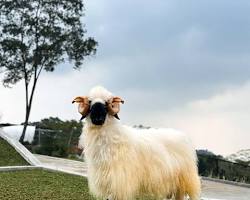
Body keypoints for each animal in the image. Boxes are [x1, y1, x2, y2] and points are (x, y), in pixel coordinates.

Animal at [73, 86, 201, 200]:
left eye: (106, 103)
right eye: (90, 102)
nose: (98, 119)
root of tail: (181, 135)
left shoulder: (120, 181)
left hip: (185, 179)